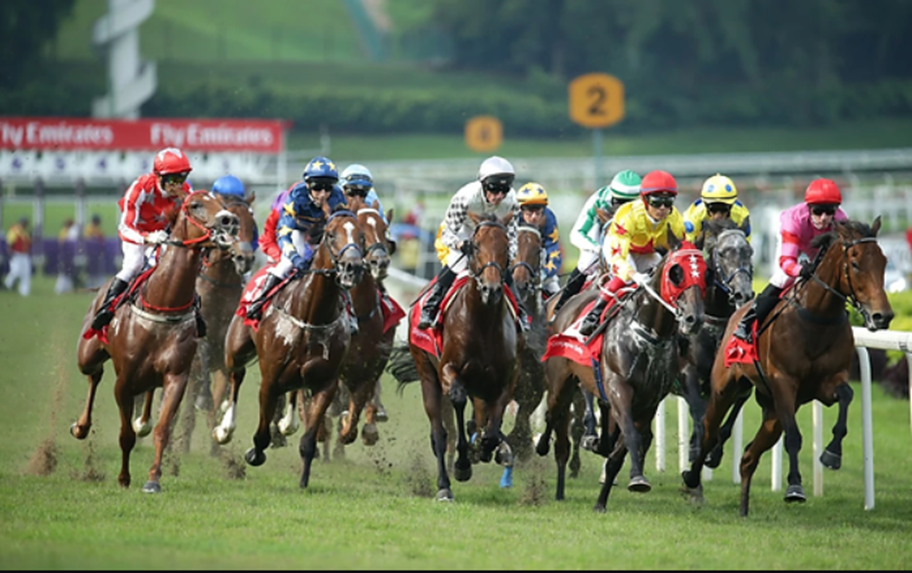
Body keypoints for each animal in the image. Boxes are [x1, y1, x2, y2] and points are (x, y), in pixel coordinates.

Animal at [72, 190, 241, 493]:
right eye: (195, 205)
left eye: (222, 205)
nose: (229, 221)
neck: (164, 302)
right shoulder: (124, 381)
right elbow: (125, 434)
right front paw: (124, 477)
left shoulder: (177, 375)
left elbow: (163, 428)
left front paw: (153, 478)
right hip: (87, 354)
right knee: (94, 374)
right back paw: (81, 426)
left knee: (145, 389)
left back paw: (143, 421)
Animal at [214, 207, 365, 488]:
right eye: (331, 234)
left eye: (361, 236)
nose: (353, 267)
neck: (312, 315)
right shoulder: (269, 380)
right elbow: (261, 434)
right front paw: (254, 453)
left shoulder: (326, 384)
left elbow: (309, 440)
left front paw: (304, 481)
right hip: (235, 349)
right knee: (236, 377)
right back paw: (225, 427)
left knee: (294, 389)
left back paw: (288, 422)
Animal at [393, 211, 522, 502]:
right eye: (475, 246)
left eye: (506, 247)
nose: (491, 290)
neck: (483, 323)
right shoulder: (448, 371)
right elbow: (458, 403)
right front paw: (463, 463)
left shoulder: (505, 380)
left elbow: (493, 427)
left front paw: (487, 448)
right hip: (427, 374)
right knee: (439, 433)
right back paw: (444, 484)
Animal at [536, 228, 707, 512]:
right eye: (676, 272)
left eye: (704, 272)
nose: (694, 319)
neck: (649, 332)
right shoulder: (619, 387)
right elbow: (631, 435)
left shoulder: (649, 400)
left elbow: (625, 446)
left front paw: (607, 496)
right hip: (561, 379)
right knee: (553, 414)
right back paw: (542, 447)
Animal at [676, 217, 754, 464]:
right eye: (721, 253)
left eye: (749, 251)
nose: (743, 294)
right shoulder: (688, 372)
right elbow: (700, 414)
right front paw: (697, 449)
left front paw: (714, 451)